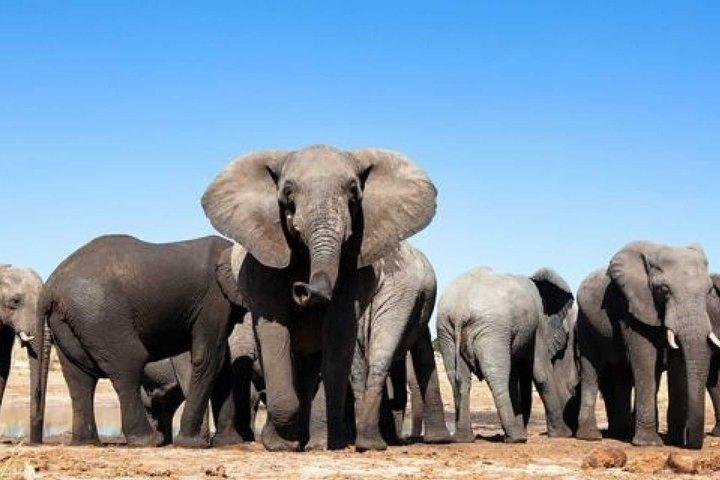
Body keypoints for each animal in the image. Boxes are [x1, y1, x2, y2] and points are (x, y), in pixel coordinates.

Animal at [32, 235, 250, 447]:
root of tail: (50, 287)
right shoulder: (214, 299)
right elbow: (209, 358)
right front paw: (193, 443)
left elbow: (223, 364)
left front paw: (229, 442)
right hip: (101, 315)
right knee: (127, 367)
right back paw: (148, 441)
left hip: (69, 321)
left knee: (79, 379)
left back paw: (87, 442)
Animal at [202, 145, 437, 451]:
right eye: (287, 193)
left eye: (354, 192)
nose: (302, 288)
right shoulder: (264, 261)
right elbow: (274, 330)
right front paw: (281, 445)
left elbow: (337, 332)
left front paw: (323, 444)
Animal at [436, 267, 576, 443]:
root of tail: (460, 310)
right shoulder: (539, 325)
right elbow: (541, 373)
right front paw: (563, 435)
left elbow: (515, 377)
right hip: (492, 330)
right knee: (497, 375)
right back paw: (516, 438)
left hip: (445, 331)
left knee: (459, 378)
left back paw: (464, 438)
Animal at [575, 241, 715, 449]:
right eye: (664, 290)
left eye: (709, 291)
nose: (690, 439)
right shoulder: (632, 305)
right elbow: (645, 357)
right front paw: (648, 443)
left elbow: (677, 364)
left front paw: (673, 441)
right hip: (585, 323)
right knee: (591, 369)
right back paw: (591, 437)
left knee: (622, 374)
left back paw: (622, 432)